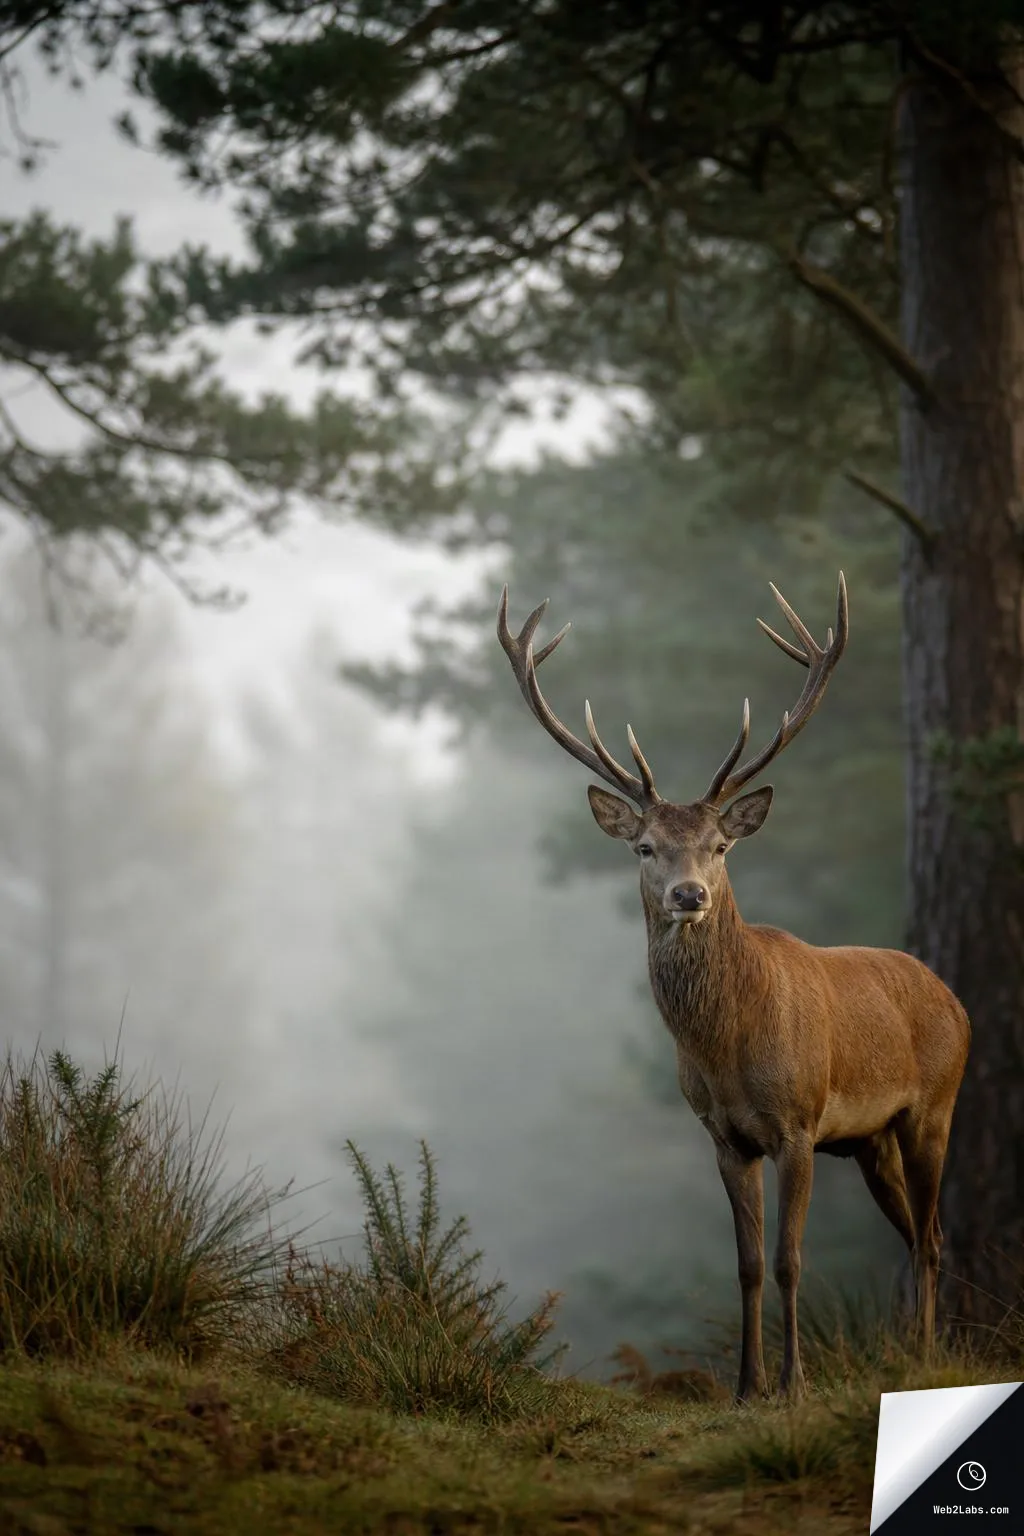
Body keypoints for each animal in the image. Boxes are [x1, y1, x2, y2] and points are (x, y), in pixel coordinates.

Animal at [497, 574, 970, 1403]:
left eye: (720, 846)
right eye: (646, 846)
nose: (688, 894)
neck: (729, 1050)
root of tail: (954, 998)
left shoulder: (800, 1123)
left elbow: (789, 1260)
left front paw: (794, 1384)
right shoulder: (724, 1136)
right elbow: (747, 1265)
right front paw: (748, 1387)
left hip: (933, 1107)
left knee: (936, 1234)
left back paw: (923, 1359)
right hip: (872, 1139)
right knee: (917, 1232)